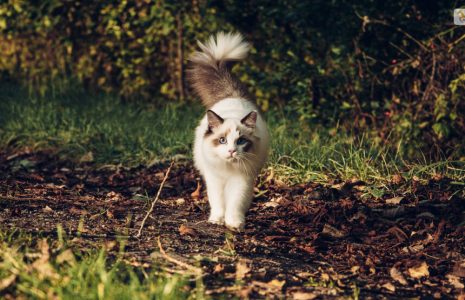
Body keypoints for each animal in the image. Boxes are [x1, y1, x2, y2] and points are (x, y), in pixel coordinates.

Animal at [187, 32, 270, 230]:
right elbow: (218, 203)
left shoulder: (241, 180)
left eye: (240, 141)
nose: (232, 151)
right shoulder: (215, 180)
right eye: (222, 140)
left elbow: (235, 204)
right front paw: (217, 220)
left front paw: (234, 224)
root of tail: (233, 95)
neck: (228, 169)